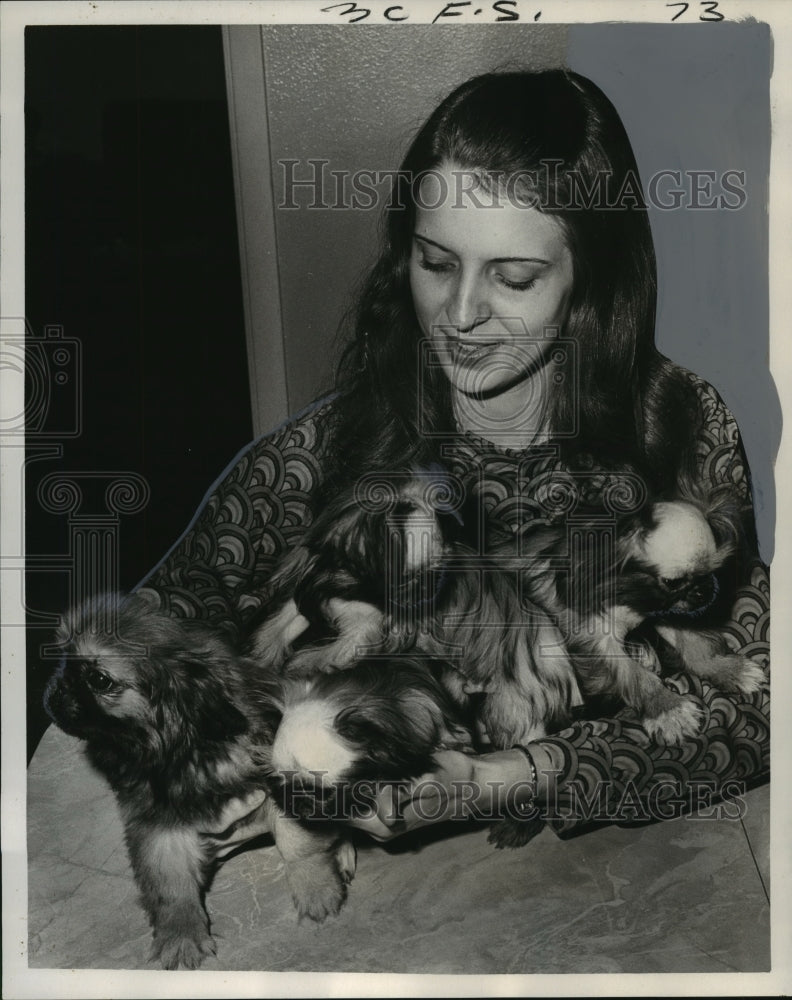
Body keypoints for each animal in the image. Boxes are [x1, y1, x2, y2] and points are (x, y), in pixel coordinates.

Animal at [41, 592, 356, 968]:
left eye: (100, 679)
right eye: (61, 658)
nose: (53, 695)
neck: (183, 749)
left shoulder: (280, 785)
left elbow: (299, 843)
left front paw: (315, 888)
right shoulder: (158, 823)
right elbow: (171, 883)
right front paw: (181, 935)